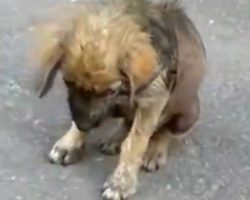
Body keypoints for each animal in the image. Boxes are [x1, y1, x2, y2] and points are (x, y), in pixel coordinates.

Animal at [31, 0, 206, 199]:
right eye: (68, 82)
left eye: (109, 91)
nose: (84, 126)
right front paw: (70, 143)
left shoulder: (153, 100)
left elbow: (135, 142)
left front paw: (121, 183)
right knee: (127, 122)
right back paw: (114, 139)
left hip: (187, 114)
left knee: (164, 131)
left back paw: (154, 151)